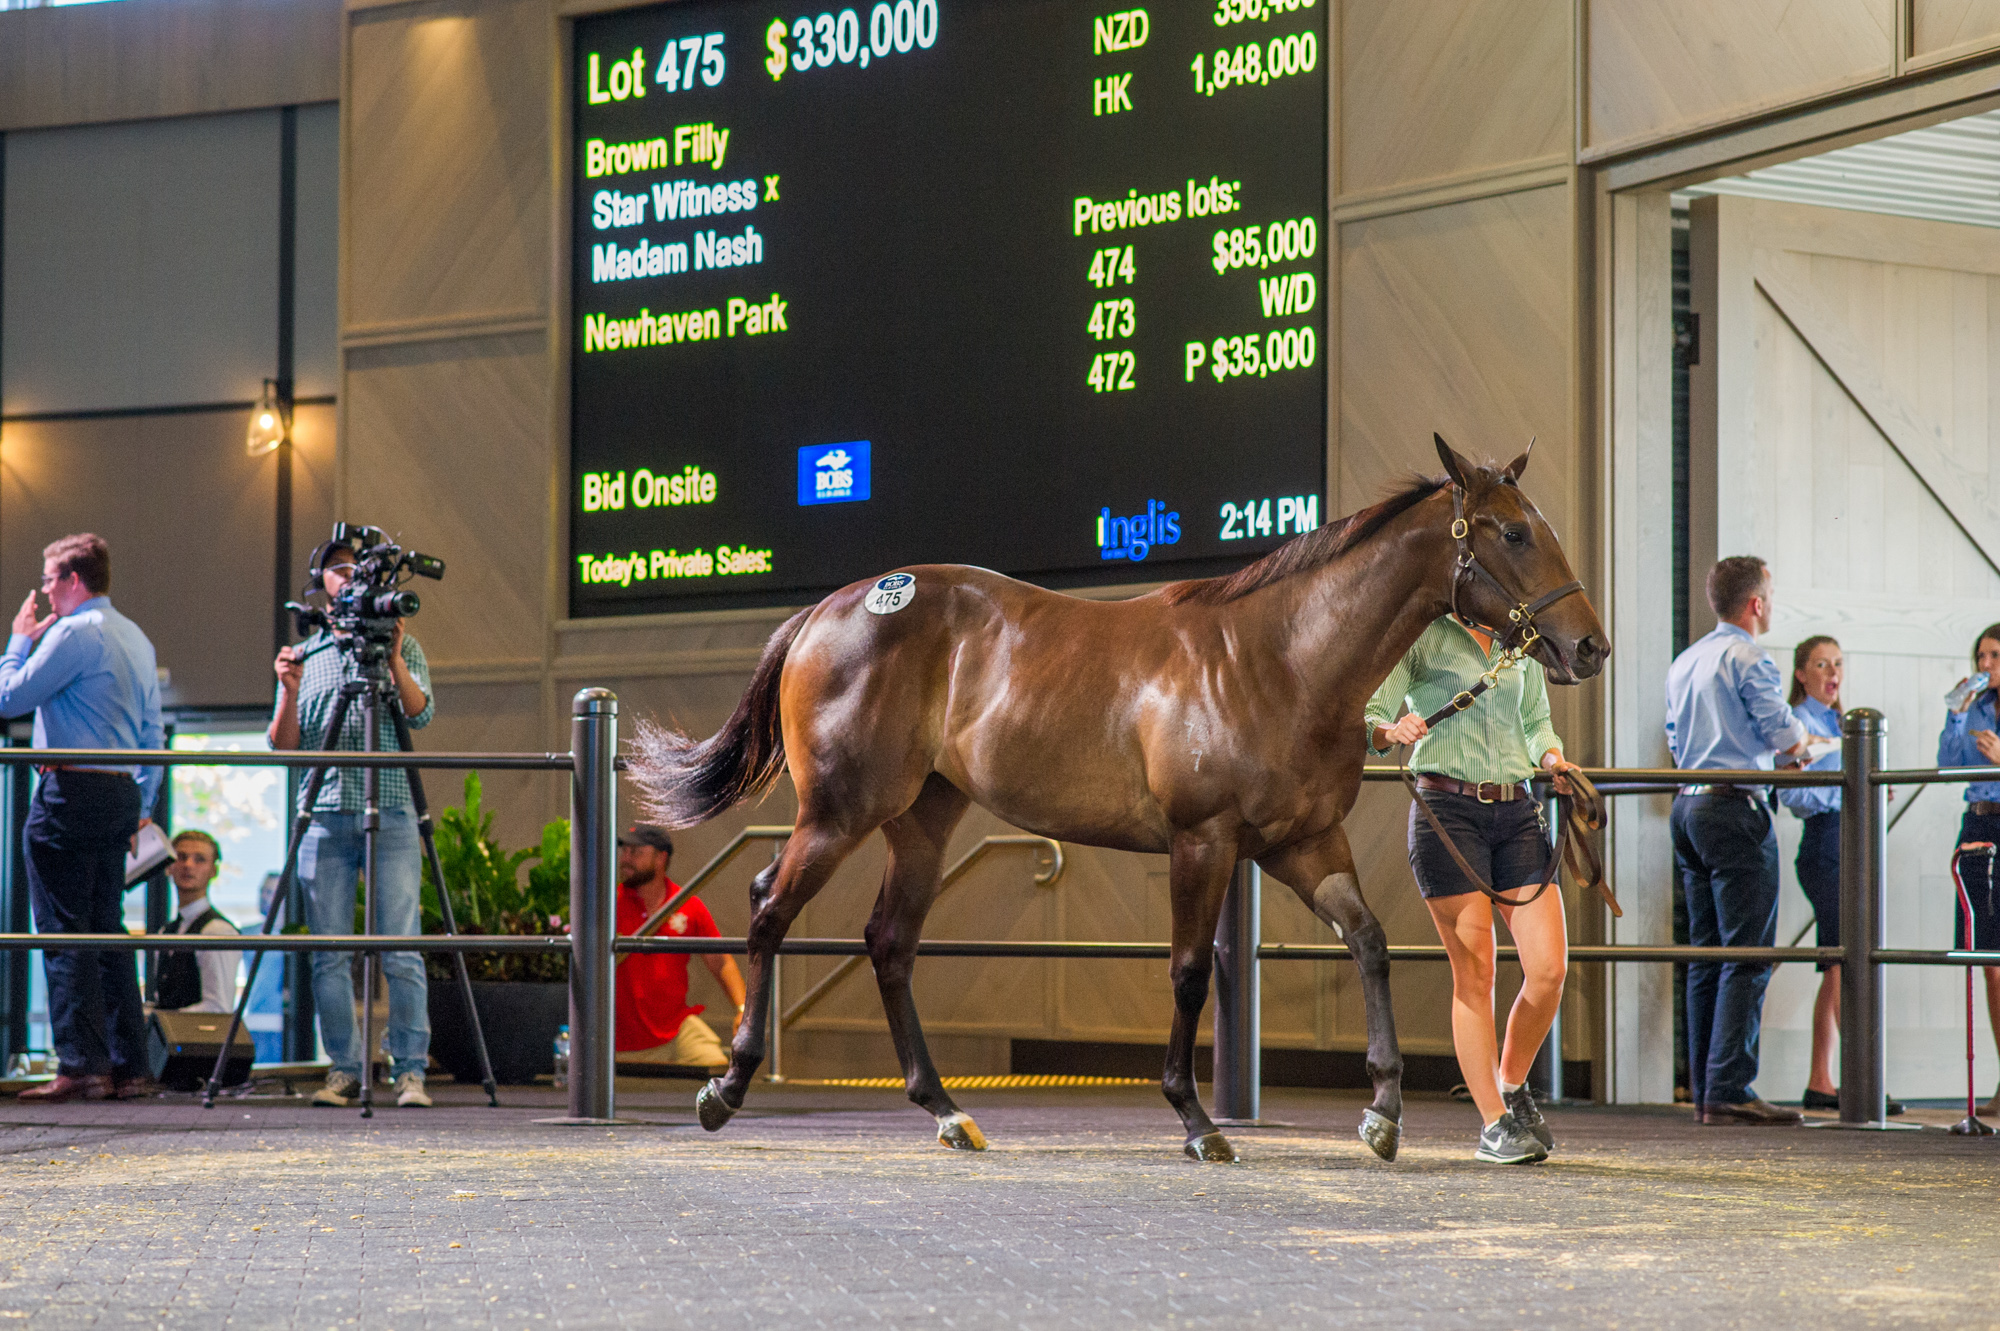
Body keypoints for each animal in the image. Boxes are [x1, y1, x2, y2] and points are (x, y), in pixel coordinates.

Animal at [632, 437, 1600, 1159]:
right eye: (1512, 533)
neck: (1278, 658)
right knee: (769, 907)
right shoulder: (1202, 841)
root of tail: (823, 613)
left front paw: (1384, 1110)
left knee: (889, 941)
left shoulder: (1303, 843)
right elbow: (1188, 972)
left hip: (924, 816)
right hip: (839, 813)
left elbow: (1368, 942)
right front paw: (1198, 1120)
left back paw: (945, 1108)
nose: (1590, 645)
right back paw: (725, 1089)